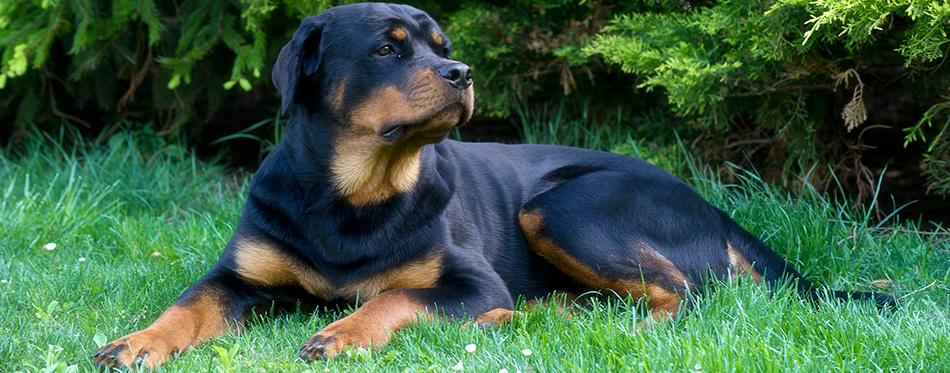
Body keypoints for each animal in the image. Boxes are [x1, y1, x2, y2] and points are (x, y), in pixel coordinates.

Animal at [93, 2, 896, 370]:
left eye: (441, 46)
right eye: (387, 49)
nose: (462, 73)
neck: (351, 194)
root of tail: (714, 206)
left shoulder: (469, 281)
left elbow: (394, 296)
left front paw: (342, 332)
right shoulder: (241, 275)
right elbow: (189, 305)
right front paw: (137, 341)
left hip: (564, 204)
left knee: (687, 294)